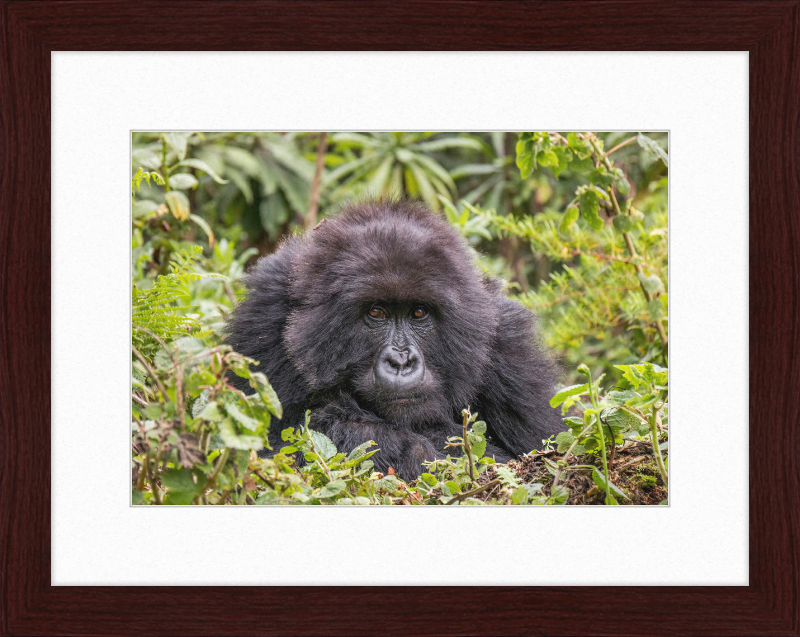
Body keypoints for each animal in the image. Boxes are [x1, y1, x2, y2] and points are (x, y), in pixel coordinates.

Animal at [225, 198, 564, 476]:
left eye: (418, 313)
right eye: (376, 313)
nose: (401, 361)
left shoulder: (509, 347)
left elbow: (542, 454)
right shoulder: (263, 320)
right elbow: (264, 453)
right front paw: (375, 437)